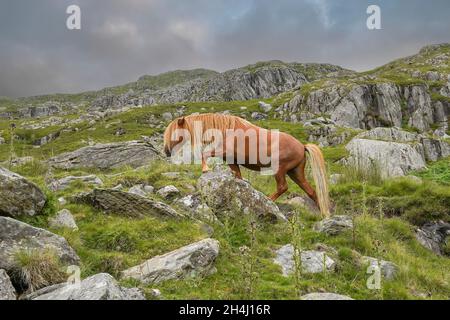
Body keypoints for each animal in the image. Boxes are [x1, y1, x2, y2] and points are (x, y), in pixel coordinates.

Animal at [163, 113, 330, 218]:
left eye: (173, 132)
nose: (166, 151)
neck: (224, 130)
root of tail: (302, 146)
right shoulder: (232, 161)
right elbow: (238, 177)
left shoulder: (223, 152)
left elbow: (205, 154)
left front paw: (205, 169)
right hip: (295, 173)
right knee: (311, 192)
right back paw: (323, 215)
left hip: (280, 170)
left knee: (283, 187)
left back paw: (268, 200)